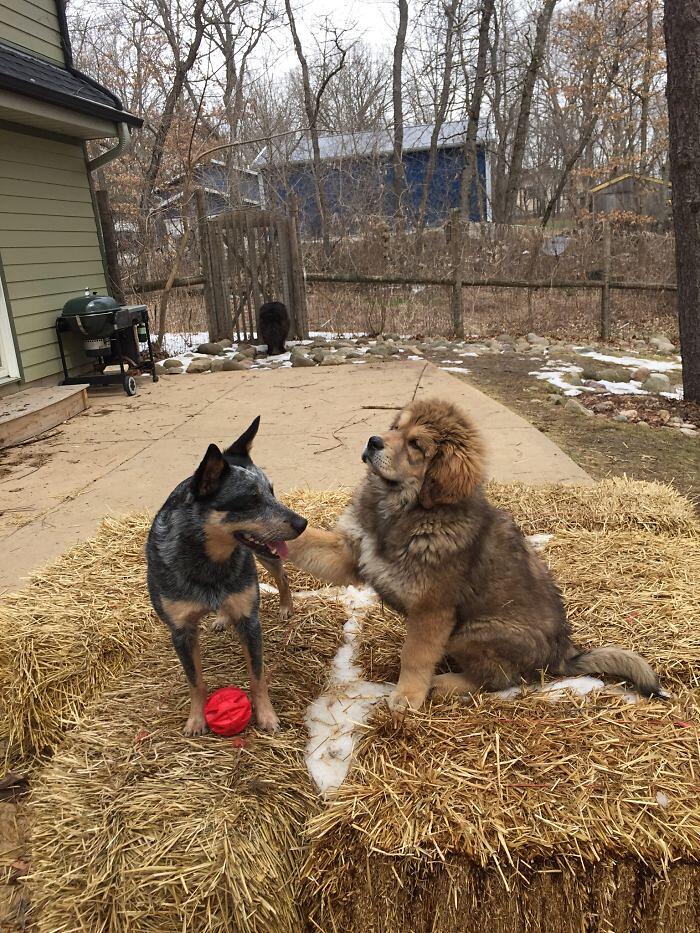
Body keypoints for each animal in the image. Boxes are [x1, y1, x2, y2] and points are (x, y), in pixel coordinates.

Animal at [286, 396, 660, 712]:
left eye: (416, 444)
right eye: (395, 427)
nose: (373, 441)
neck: (400, 509)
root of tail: (561, 655)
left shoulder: (432, 609)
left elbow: (415, 656)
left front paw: (407, 697)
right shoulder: (350, 552)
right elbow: (306, 542)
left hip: (470, 633)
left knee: (500, 680)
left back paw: (444, 683)